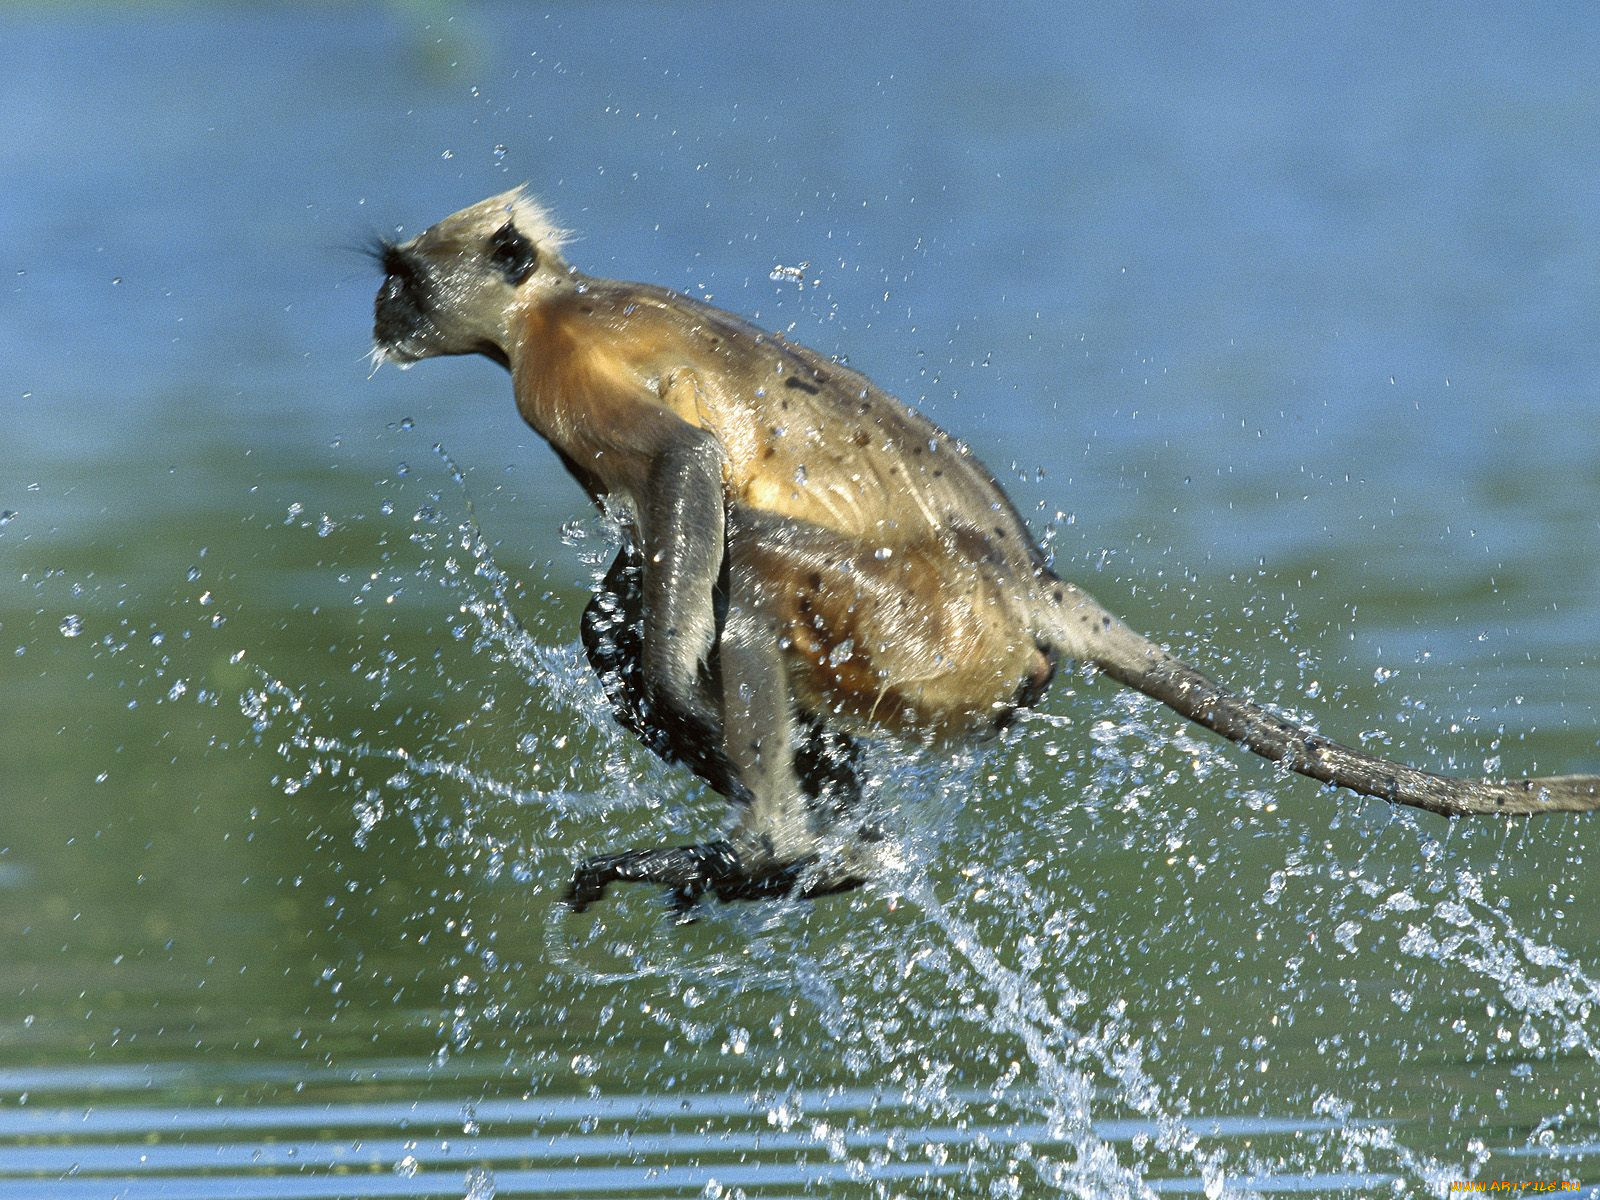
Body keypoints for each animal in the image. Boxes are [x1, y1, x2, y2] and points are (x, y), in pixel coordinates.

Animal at [368, 192, 1593, 915]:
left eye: (408, 275)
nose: (381, 308)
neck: (550, 306)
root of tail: (1029, 583)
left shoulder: (562, 372)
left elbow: (690, 472)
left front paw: (686, 697)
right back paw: (825, 842)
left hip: (934, 631)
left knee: (744, 577)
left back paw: (770, 845)